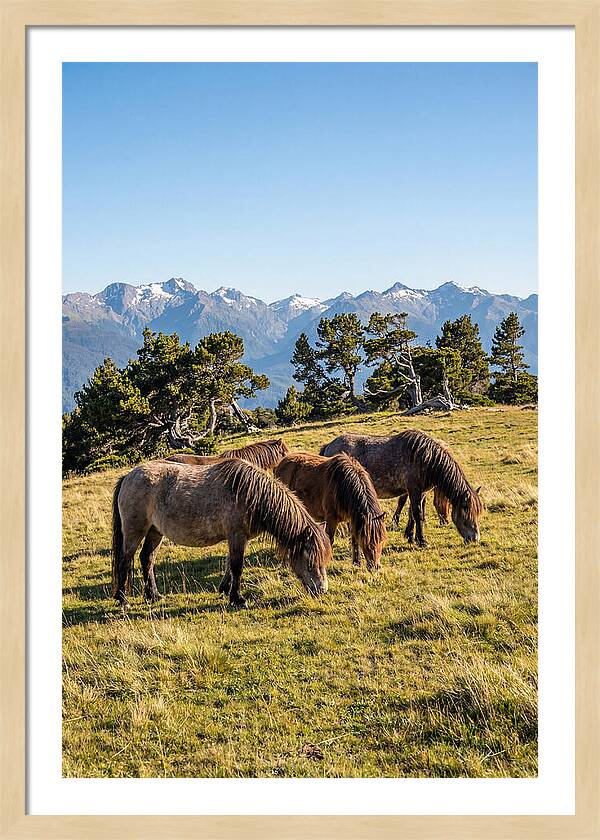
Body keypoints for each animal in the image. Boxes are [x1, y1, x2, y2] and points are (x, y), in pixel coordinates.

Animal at [112, 458, 330, 609]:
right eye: (310, 561)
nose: (322, 590)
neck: (250, 494)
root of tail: (128, 477)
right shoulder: (236, 536)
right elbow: (237, 566)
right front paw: (238, 599)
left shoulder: (239, 538)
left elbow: (229, 565)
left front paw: (225, 590)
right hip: (134, 531)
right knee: (125, 560)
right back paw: (123, 600)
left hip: (155, 532)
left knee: (147, 559)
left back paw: (153, 595)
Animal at [320, 429, 483, 546]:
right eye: (466, 509)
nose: (475, 538)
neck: (425, 458)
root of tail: (328, 446)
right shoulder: (414, 490)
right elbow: (417, 514)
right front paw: (422, 541)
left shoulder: (420, 493)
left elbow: (413, 513)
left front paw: (410, 537)